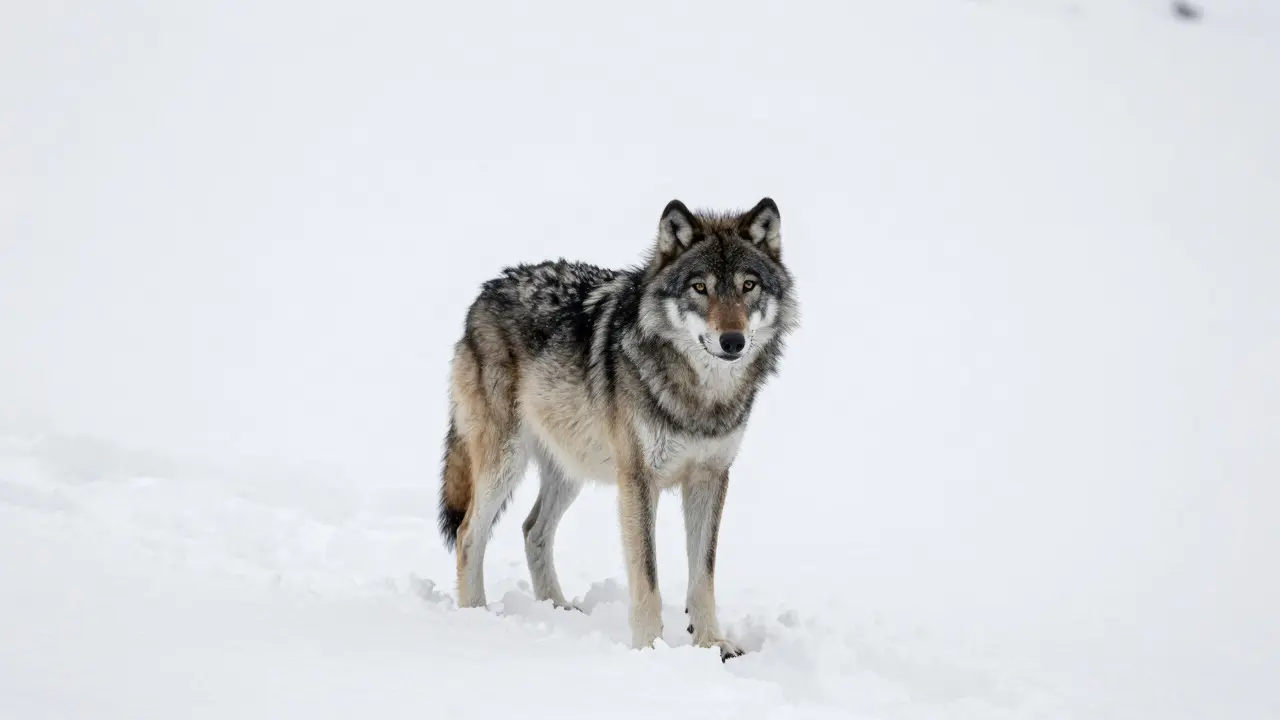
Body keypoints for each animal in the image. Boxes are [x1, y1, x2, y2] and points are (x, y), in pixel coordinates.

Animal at [437, 197, 797, 660]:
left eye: (749, 285)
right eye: (700, 288)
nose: (732, 341)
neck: (700, 397)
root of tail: (488, 289)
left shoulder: (710, 478)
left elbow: (703, 575)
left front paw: (711, 642)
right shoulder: (638, 481)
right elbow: (648, 577)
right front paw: (650, 649)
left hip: (569, 468)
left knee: (533, 530)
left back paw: (557, 606)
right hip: (506, 463)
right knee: (469, 534)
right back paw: (476, 617)